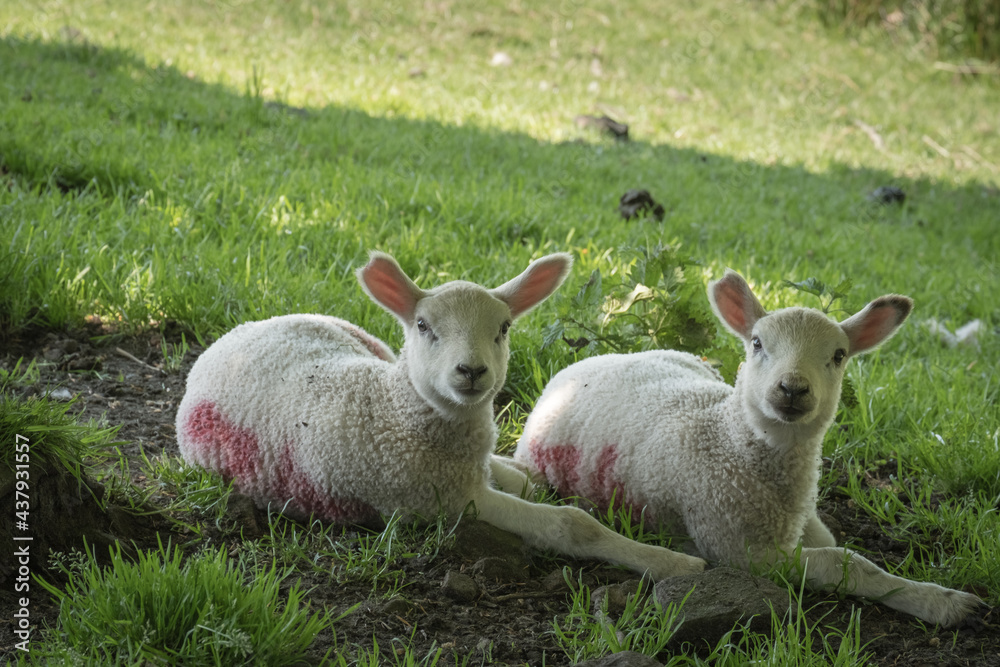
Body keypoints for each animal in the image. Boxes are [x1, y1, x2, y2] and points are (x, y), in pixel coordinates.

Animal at [175, 252, 706, 579]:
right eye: (424, 325)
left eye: (504, 328)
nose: (471, 371)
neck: (394, 408)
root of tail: (235, 334)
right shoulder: (444, 500)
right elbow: (571, 525)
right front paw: (674, 564)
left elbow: (527, 483)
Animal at [514, 269, 983, 627]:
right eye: (757, 343)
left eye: (838, 355)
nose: (792, 388)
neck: (729, 436)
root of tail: (575, 368)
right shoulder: (739, 550)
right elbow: (843, 561)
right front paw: (942, 603)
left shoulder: (798, 520)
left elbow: (840, 545)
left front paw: (935, 597)